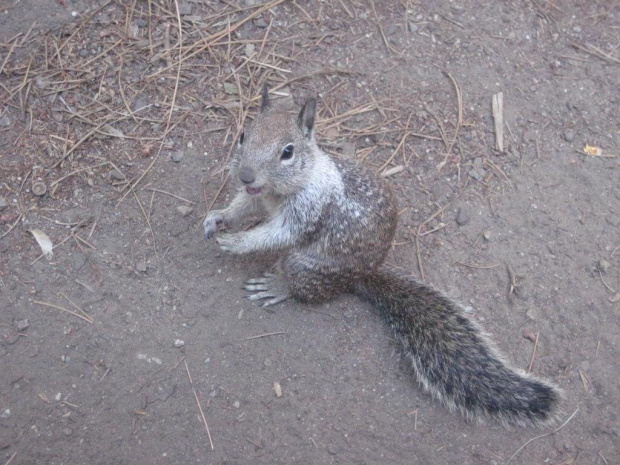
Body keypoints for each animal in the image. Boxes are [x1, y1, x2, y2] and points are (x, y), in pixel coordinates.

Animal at [203, 85, 560, 426]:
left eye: (287, 152)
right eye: (243, 135)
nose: (246, 175)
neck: (284, 189)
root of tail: (364, 275)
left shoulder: (307, 210)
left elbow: (279, 233)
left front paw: (239, 241)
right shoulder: (258, 197)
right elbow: (243, 206)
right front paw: (217, 218)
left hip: (306, 266)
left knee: (302, 287)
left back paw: (277, 286)